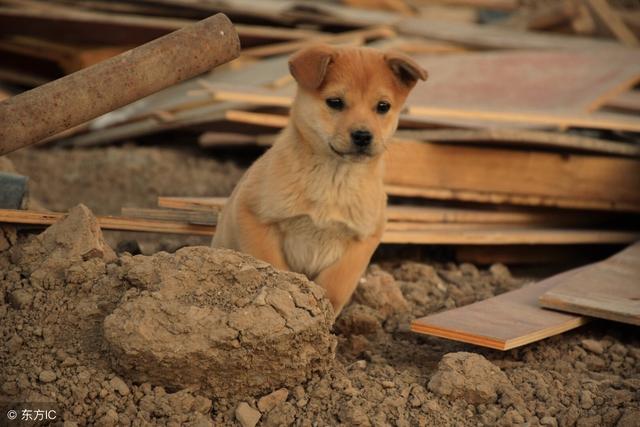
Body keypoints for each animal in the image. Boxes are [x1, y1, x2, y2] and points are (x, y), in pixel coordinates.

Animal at [212, 44, 428, 318]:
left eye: (383, 106)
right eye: (335, 102)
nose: (363, 136)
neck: (333, 180)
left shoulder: (365, 238)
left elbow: (336, 284)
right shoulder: (253, 214)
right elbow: (274, 266)